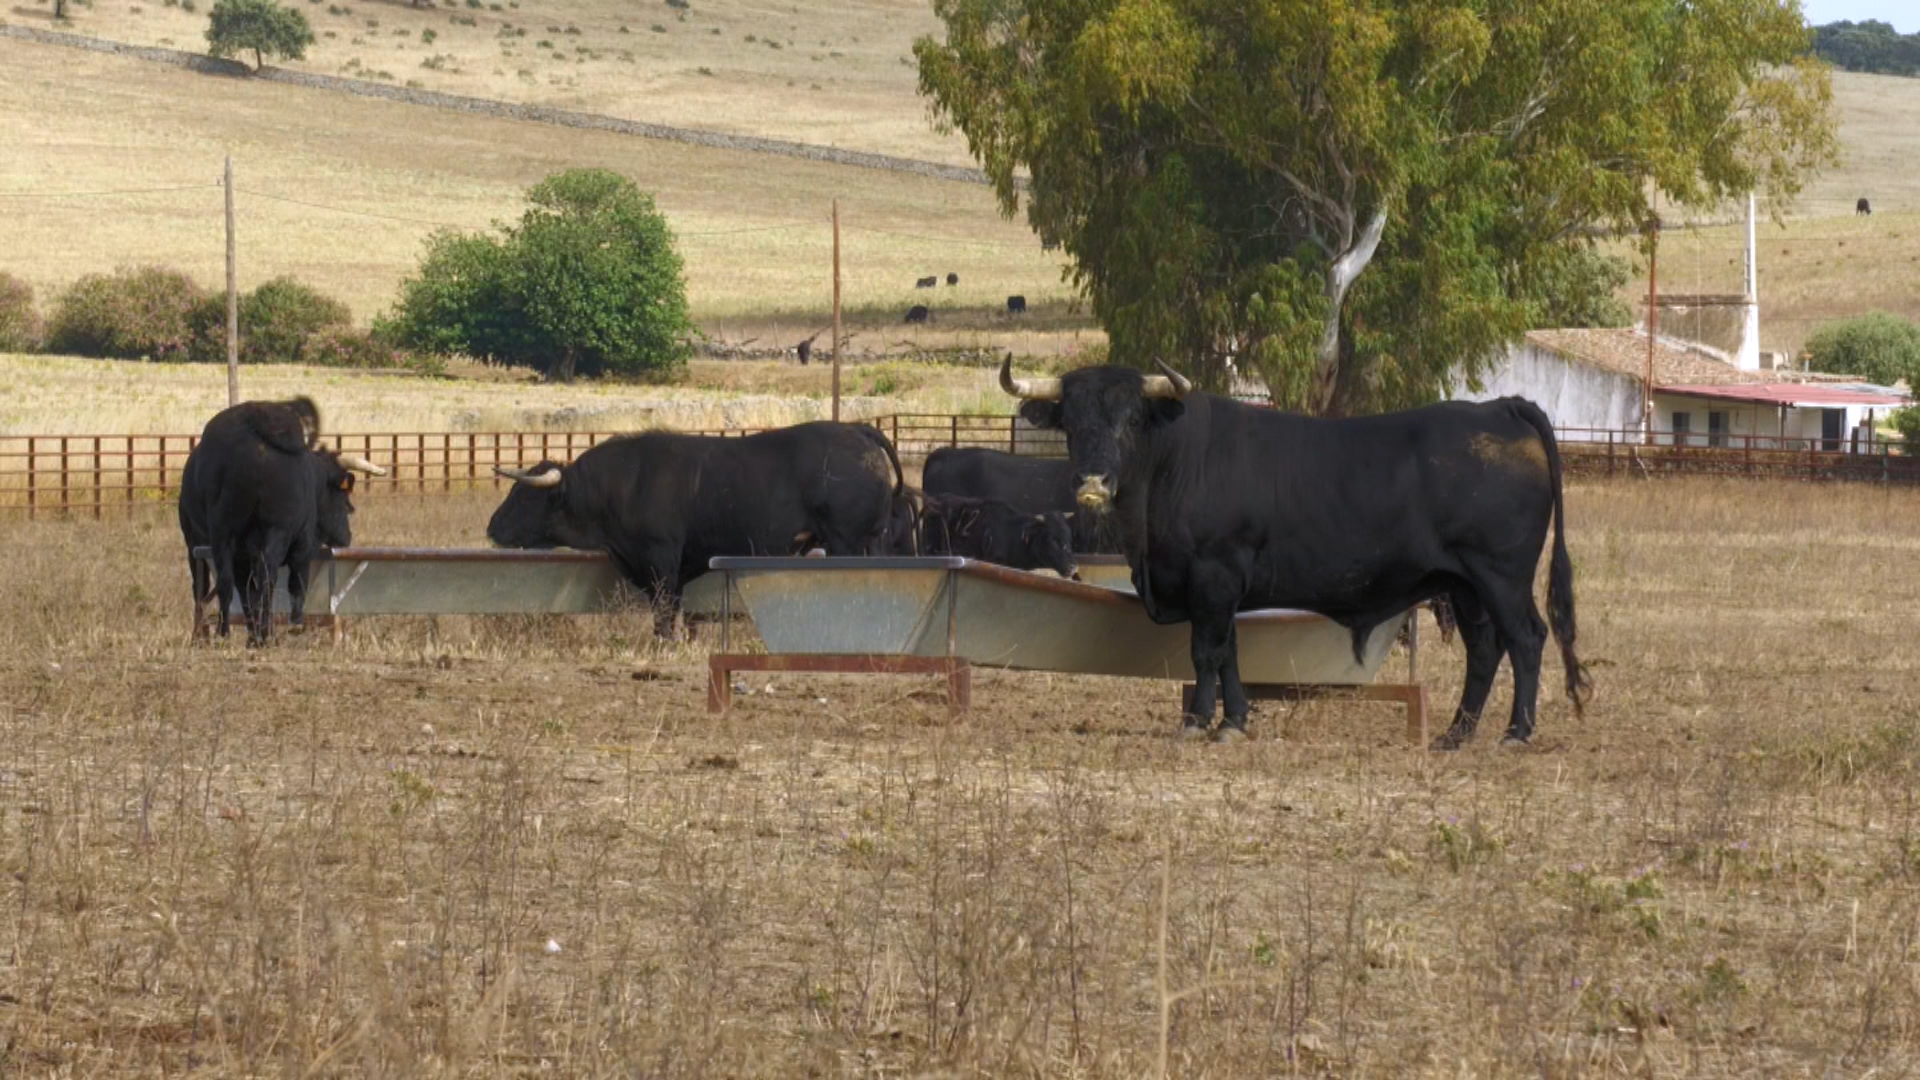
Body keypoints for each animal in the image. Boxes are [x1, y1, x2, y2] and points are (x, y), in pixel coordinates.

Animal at [179, 397, 385, 641]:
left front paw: (252, 631)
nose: (346, 537)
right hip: (273, 530)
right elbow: (296, 584)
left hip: (217, 536)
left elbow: (244, 590)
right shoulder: (303, 543)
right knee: (265, 578)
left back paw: (222, 633)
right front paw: (293, 625)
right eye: (343, 497)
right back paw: (264, 634)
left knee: (220, 584)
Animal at [998, 357, 1597, 745]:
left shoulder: (1213, 577)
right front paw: (1234, 721)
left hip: (1501, 576)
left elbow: (1206, 651)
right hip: (1466, 585)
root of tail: (1500, 408)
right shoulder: (1219, 591)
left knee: (1526, 639)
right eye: (1072, 423)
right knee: (1485, 650)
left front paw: (1198, 722)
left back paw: (1516, 732)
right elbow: (1230, 652)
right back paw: (1457, 733)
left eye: (1130, 420)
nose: (1091, 482)